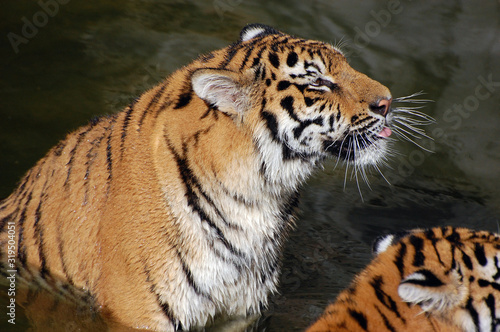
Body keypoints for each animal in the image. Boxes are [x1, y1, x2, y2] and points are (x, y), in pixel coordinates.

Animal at [0, 23, 422, 330]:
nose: (387, 101)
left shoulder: (240, 310)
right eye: (317, 82)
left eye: (345, 65)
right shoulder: (140, 314)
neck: (258, 199)